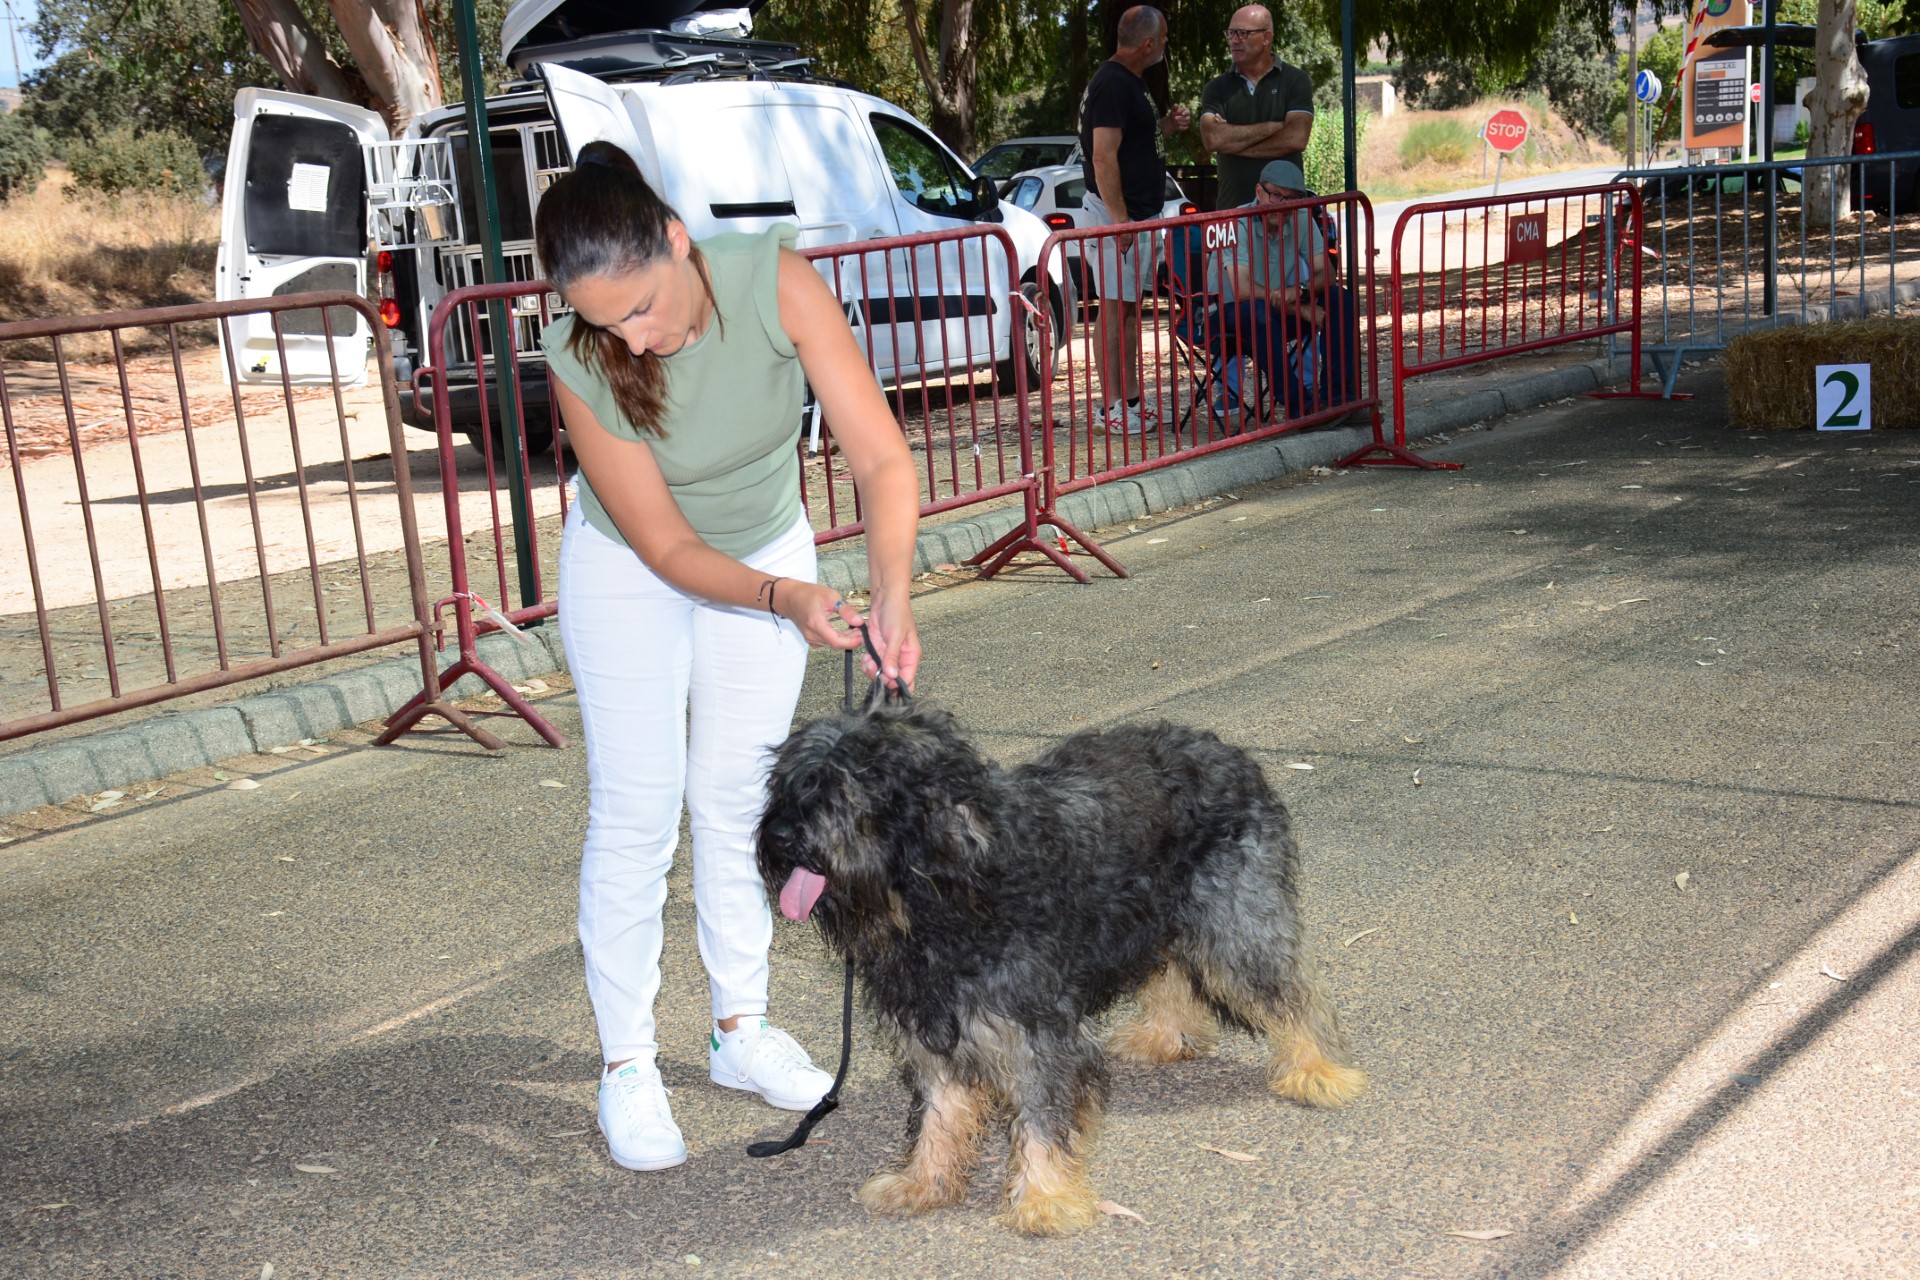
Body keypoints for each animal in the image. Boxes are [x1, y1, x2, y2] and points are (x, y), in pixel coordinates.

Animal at [748, 694, 1367, 1235]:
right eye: (788, 782)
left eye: (846, 787)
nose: (778, 834)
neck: (952, 888)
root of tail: (1226, 750)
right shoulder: (938, 1025)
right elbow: (939, 1116)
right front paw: (924, 1183)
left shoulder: (1035, 1030)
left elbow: (1042, 1117)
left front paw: (1044, 1200)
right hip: (1155, 913)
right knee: (1170, 971)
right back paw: (1165, 1036)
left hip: (1236, 920)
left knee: (1290, 991)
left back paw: (1319, 1070)